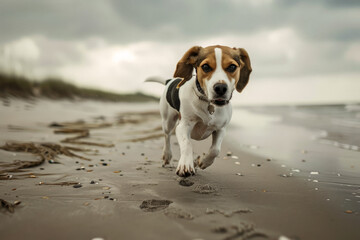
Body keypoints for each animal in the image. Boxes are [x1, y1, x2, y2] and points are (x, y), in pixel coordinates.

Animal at [145, 45, 252, 177]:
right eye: (205, 66)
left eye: (232, 67)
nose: (220, 88)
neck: (208, 103)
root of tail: (170, 81)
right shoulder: (183, 126)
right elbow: (187, 144)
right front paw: (185, 164)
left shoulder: (221, 129)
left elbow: (215, 150)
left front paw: (202, 162)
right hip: (167, 121)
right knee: (167, 136)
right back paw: (167, 156)